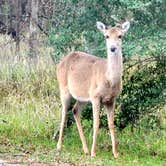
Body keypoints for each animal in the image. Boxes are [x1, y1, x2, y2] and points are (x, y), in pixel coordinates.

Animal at [55, 20, 130, 158]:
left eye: (120, 36)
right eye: (106, 36)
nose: (112, 48)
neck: (109, 80)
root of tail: (61, 62)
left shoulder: (111, 99)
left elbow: (111, 124)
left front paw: (116, 153)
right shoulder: (95, 96)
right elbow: (96, 123)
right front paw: (94, 152)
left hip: (83, 97)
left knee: (75, 110)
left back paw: (85, 149)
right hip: (63, 88)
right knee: (64, 112)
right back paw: (59, 146)